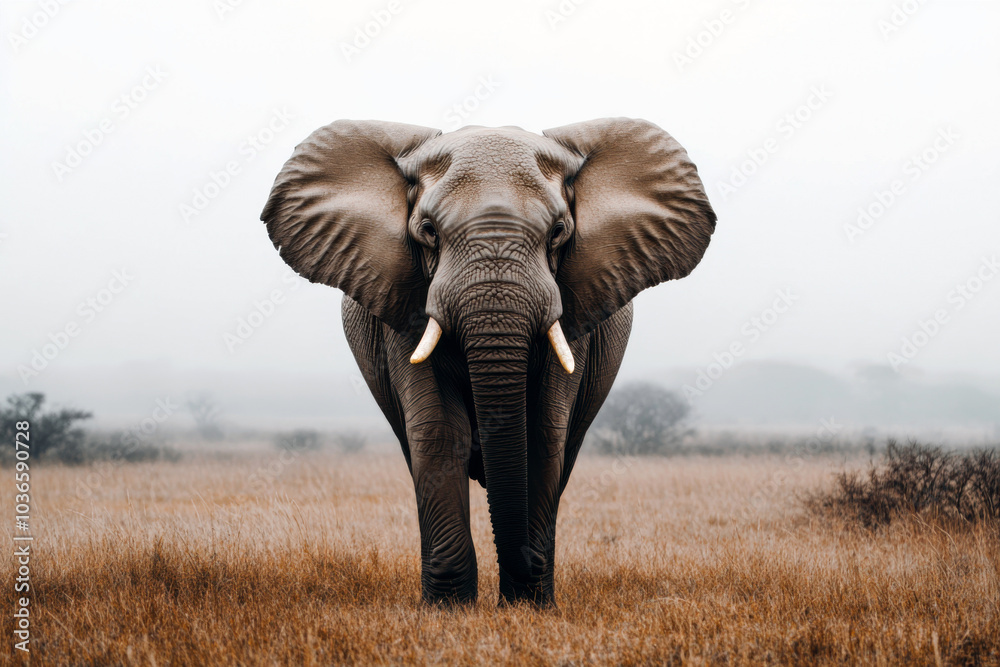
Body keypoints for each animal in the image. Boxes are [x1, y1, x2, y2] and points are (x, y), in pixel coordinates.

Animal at [261, 118, 716, 606]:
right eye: (428, 231)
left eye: (559, 231)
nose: (523, 572)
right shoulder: (403, 299)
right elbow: (438, 432)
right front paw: (448, 610)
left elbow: (543, 433)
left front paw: (530, 607)